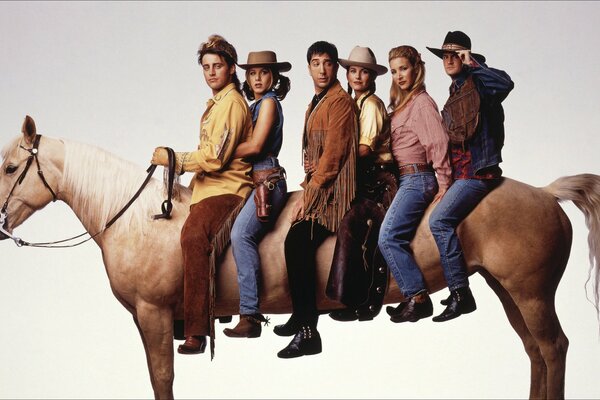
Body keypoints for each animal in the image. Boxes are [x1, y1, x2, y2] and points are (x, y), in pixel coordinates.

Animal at [1, 115, 600, 396]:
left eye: (10, 167)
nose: (2, 223)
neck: (141, 217)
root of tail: (544, 193)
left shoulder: (152, 318)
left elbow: (162, 380)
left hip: (529, 293)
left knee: (554, 349)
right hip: (509, 291)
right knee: (536, 353)